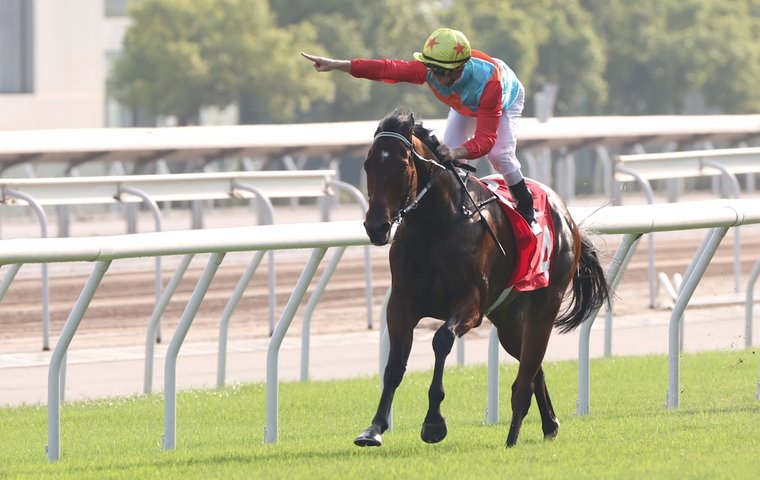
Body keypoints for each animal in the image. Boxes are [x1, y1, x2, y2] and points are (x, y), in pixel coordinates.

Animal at [356, 107, 611, 448]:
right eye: (368, 165)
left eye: (401, 166)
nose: (376, 226)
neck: (435, 225)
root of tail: (567, 216)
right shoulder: (401, 302)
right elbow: (395, 364)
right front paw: (374, 428)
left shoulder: (471, 303)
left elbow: (441, 340)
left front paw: (434, 422)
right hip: (507, 318)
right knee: (533, 365)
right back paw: (550, 424)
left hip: (545, 304)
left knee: (528, 368)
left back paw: (515, 434)